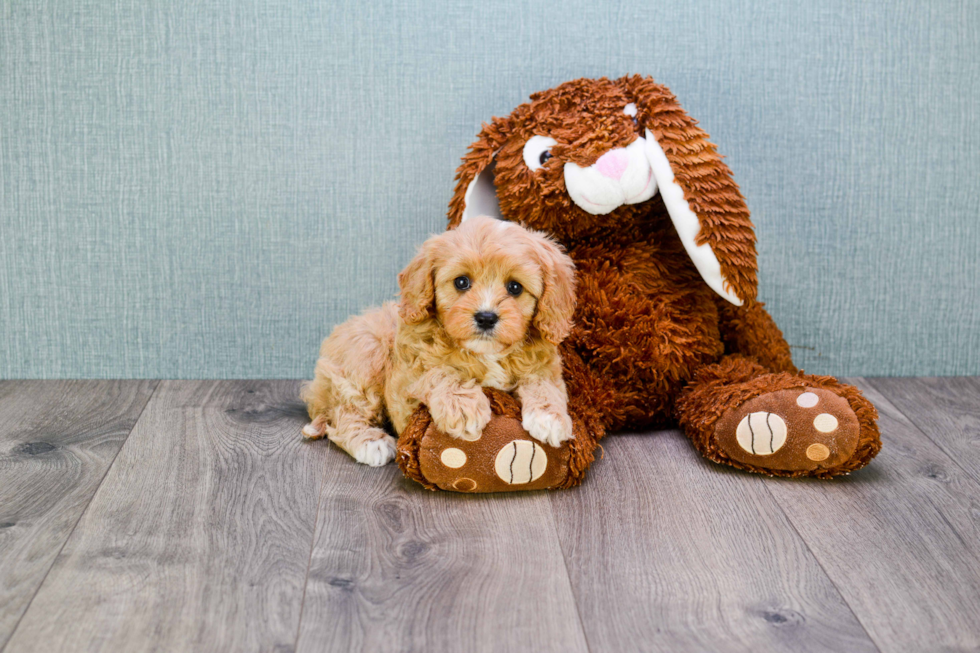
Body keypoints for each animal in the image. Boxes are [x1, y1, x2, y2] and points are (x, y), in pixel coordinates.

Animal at [298, 216, 576, 466]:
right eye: (461, 282)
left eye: (515, 287)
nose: (486, 317)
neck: (484, 353)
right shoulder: (406, 380)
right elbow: (439, 372)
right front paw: (463, 407)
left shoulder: (544, 365)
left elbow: (544, 383)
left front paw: (550, 417)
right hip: (365, 356)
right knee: (345, 414)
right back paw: (370, 442)